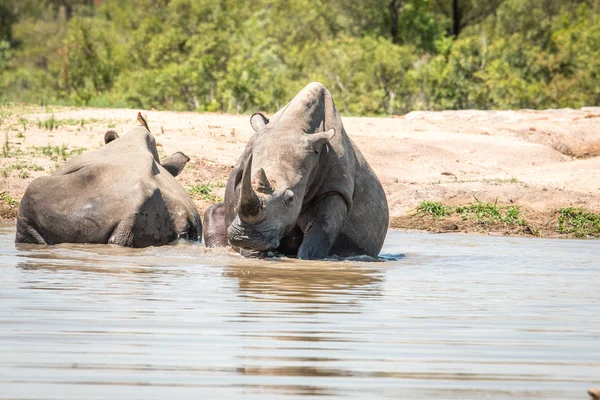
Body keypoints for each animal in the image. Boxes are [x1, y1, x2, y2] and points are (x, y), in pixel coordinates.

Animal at [203, 82, 390, 260]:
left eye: (290, 198)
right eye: (240, 186)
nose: (246, 238)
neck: (293, 126)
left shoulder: (336, 188)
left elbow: (321, 234)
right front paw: (253, 253)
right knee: (212, 212)